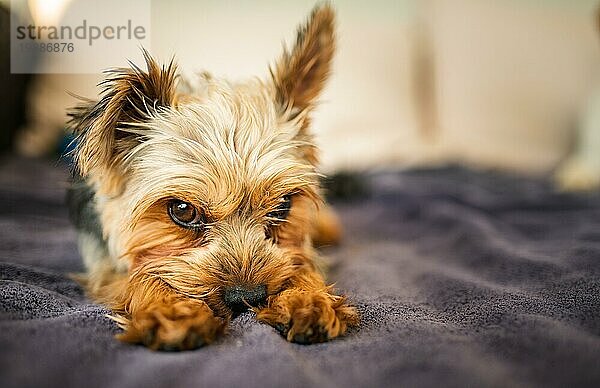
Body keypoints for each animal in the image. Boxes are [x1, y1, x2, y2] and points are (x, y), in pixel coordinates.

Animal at [67, 3, 356, 350]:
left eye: (283, 206)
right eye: (182, 210)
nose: (246, 297)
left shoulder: (297, 250)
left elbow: (300, 263)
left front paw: (308, 298)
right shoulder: (104, 265)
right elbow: (138, 273)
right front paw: (171, 310)